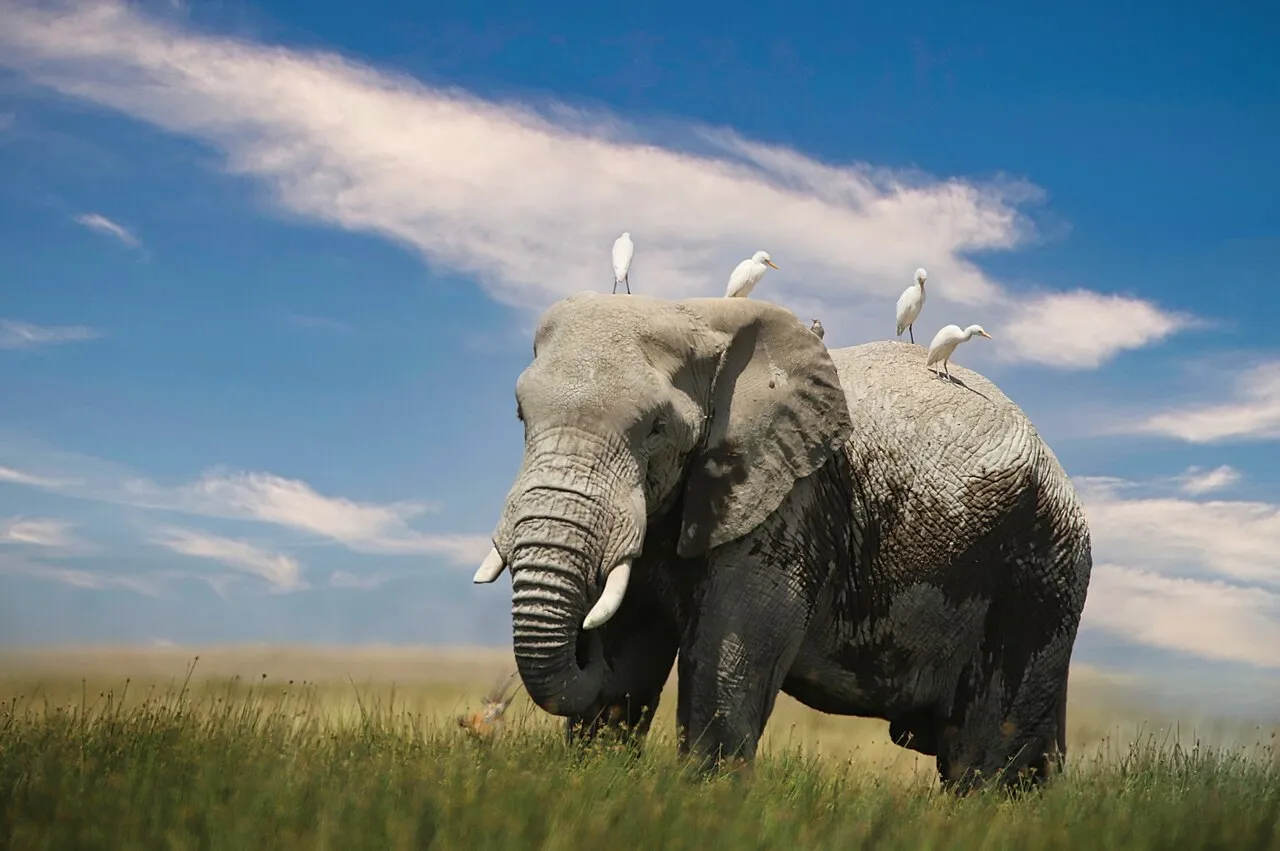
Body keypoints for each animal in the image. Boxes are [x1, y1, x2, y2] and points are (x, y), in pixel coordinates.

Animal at [472, 291, 1093, 792]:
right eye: (521, 414)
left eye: (656, 429)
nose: (487, 716)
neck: (699, 317)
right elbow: (626, 665)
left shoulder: (789, 504)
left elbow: (725, 665)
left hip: (1039, 574)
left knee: (981, 761)